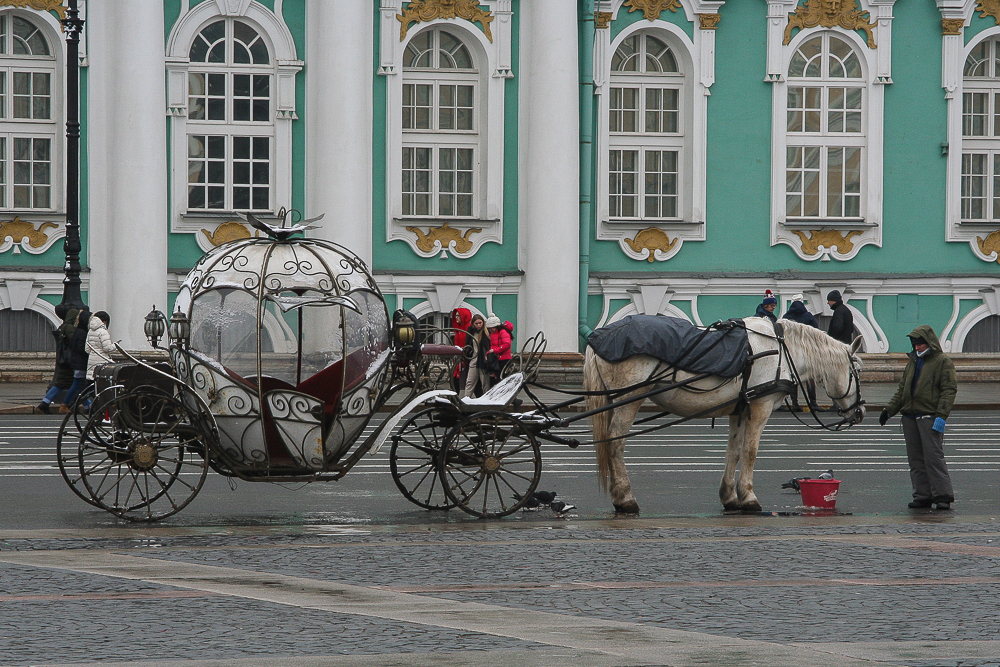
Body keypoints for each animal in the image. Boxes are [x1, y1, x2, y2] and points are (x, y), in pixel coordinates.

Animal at [584, 318, 864, 516]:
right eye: (858, 371)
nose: (860, 412)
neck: (779, 351)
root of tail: (599, 337)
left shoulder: (739, 410)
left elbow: (734, 451)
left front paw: (730, 497)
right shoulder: (760, 407)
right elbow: (750, 451)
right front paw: (749, 498)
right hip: (629, 400)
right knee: (615, 443)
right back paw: (625, 499)